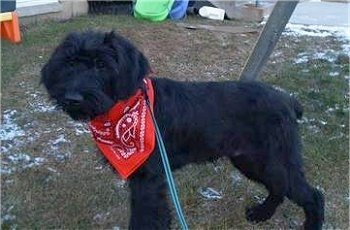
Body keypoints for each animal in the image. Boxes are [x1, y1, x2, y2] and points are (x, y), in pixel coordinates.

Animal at [41, 31, 326, 230]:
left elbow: (146, 218)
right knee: (279, 187)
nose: (72, 98)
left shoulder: (148, 179)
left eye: (101, 65)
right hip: (250, 160)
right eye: (70, 63)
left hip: (273, 159)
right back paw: (260, 214)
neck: (127, 105)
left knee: (312, 195)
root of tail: (288, 101)